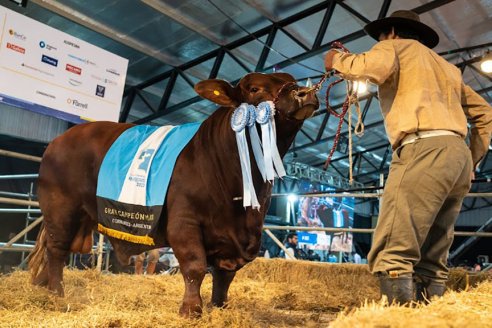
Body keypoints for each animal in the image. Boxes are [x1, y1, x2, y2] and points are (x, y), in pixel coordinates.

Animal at [28, 72, 320, 318]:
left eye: (292, 79)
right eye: (255, 88)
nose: (304, 93)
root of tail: (60, 140)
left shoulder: (242, 235)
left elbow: (225, 276)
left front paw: (220, 307)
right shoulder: (184, 221)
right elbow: (195, 266)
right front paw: (191, 310)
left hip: (82, 216)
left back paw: (43, 288)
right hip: (61, 209)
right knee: (56, 250)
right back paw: (57, 293)